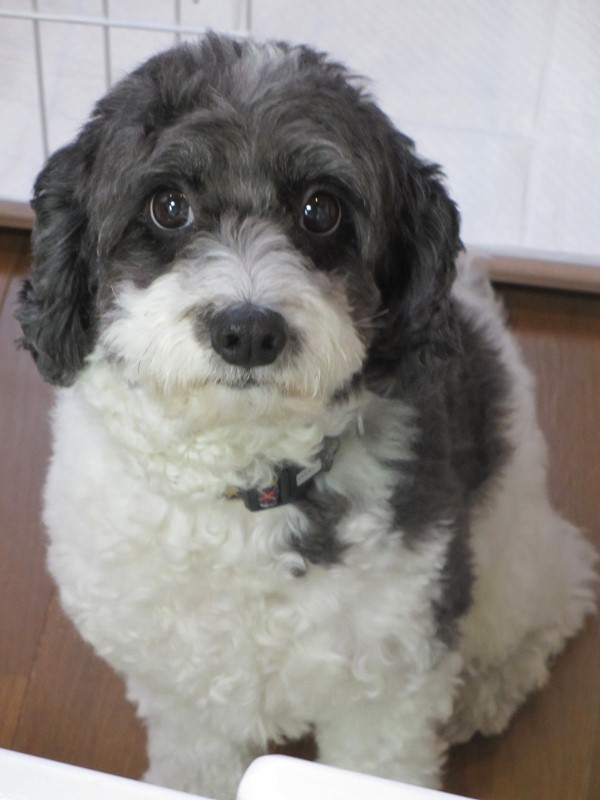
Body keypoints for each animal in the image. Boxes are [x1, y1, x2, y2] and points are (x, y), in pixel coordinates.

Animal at [17, 33, 597, 800]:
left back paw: (489, 688)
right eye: (168, 205)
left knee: (559, 590)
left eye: (322, 210)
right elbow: (195, 754)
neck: (246, 490)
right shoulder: (183, 688)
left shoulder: (391, 676)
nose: (248, 330)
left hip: (506, 537)